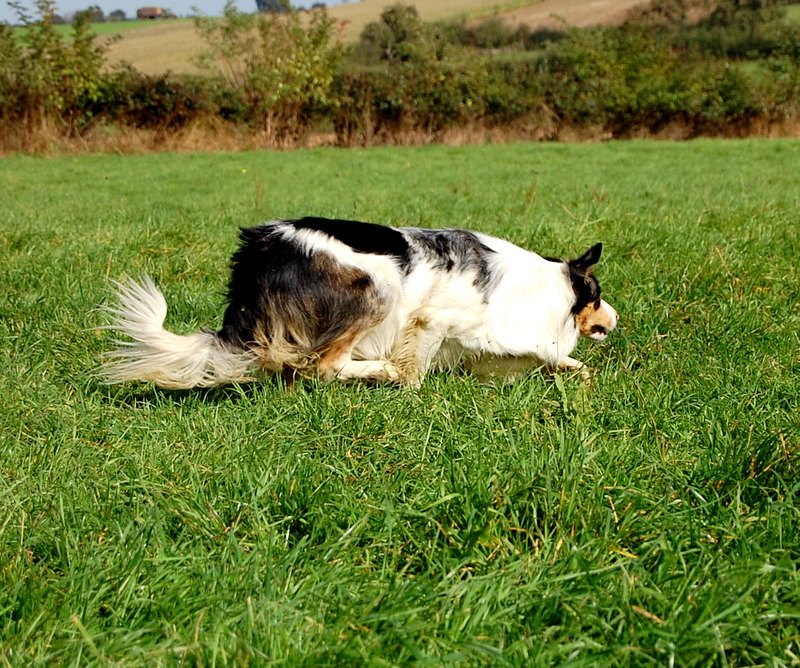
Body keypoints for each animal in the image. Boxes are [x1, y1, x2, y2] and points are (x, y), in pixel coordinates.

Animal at [101, 217, 620, 388]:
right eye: (597, 297)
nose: (617, 319)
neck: (550, 287)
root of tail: (258, 254)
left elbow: (557, 360)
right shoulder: (433, 320)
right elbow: (415, 372)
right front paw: (410, 389)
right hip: (379, 287)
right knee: (326, 366)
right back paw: (379, 372)